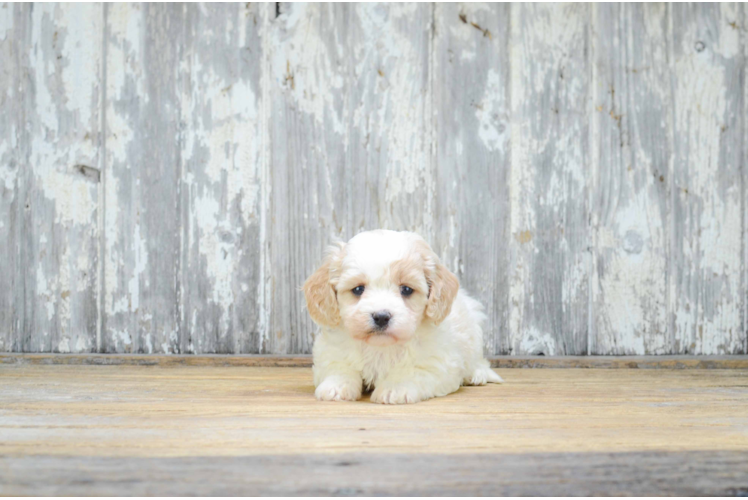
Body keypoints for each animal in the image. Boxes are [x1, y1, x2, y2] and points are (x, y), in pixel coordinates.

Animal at [302, 229, 502, 404]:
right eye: (358, 289)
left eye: (406, 289)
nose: (381, 317)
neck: (381, 347)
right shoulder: (331, 351)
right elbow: (339, 367)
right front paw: (335, 386)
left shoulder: (436, 363)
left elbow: (411, 372)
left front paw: (394, 388)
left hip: (474, 329)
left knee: (478, 360)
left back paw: (477, 374)